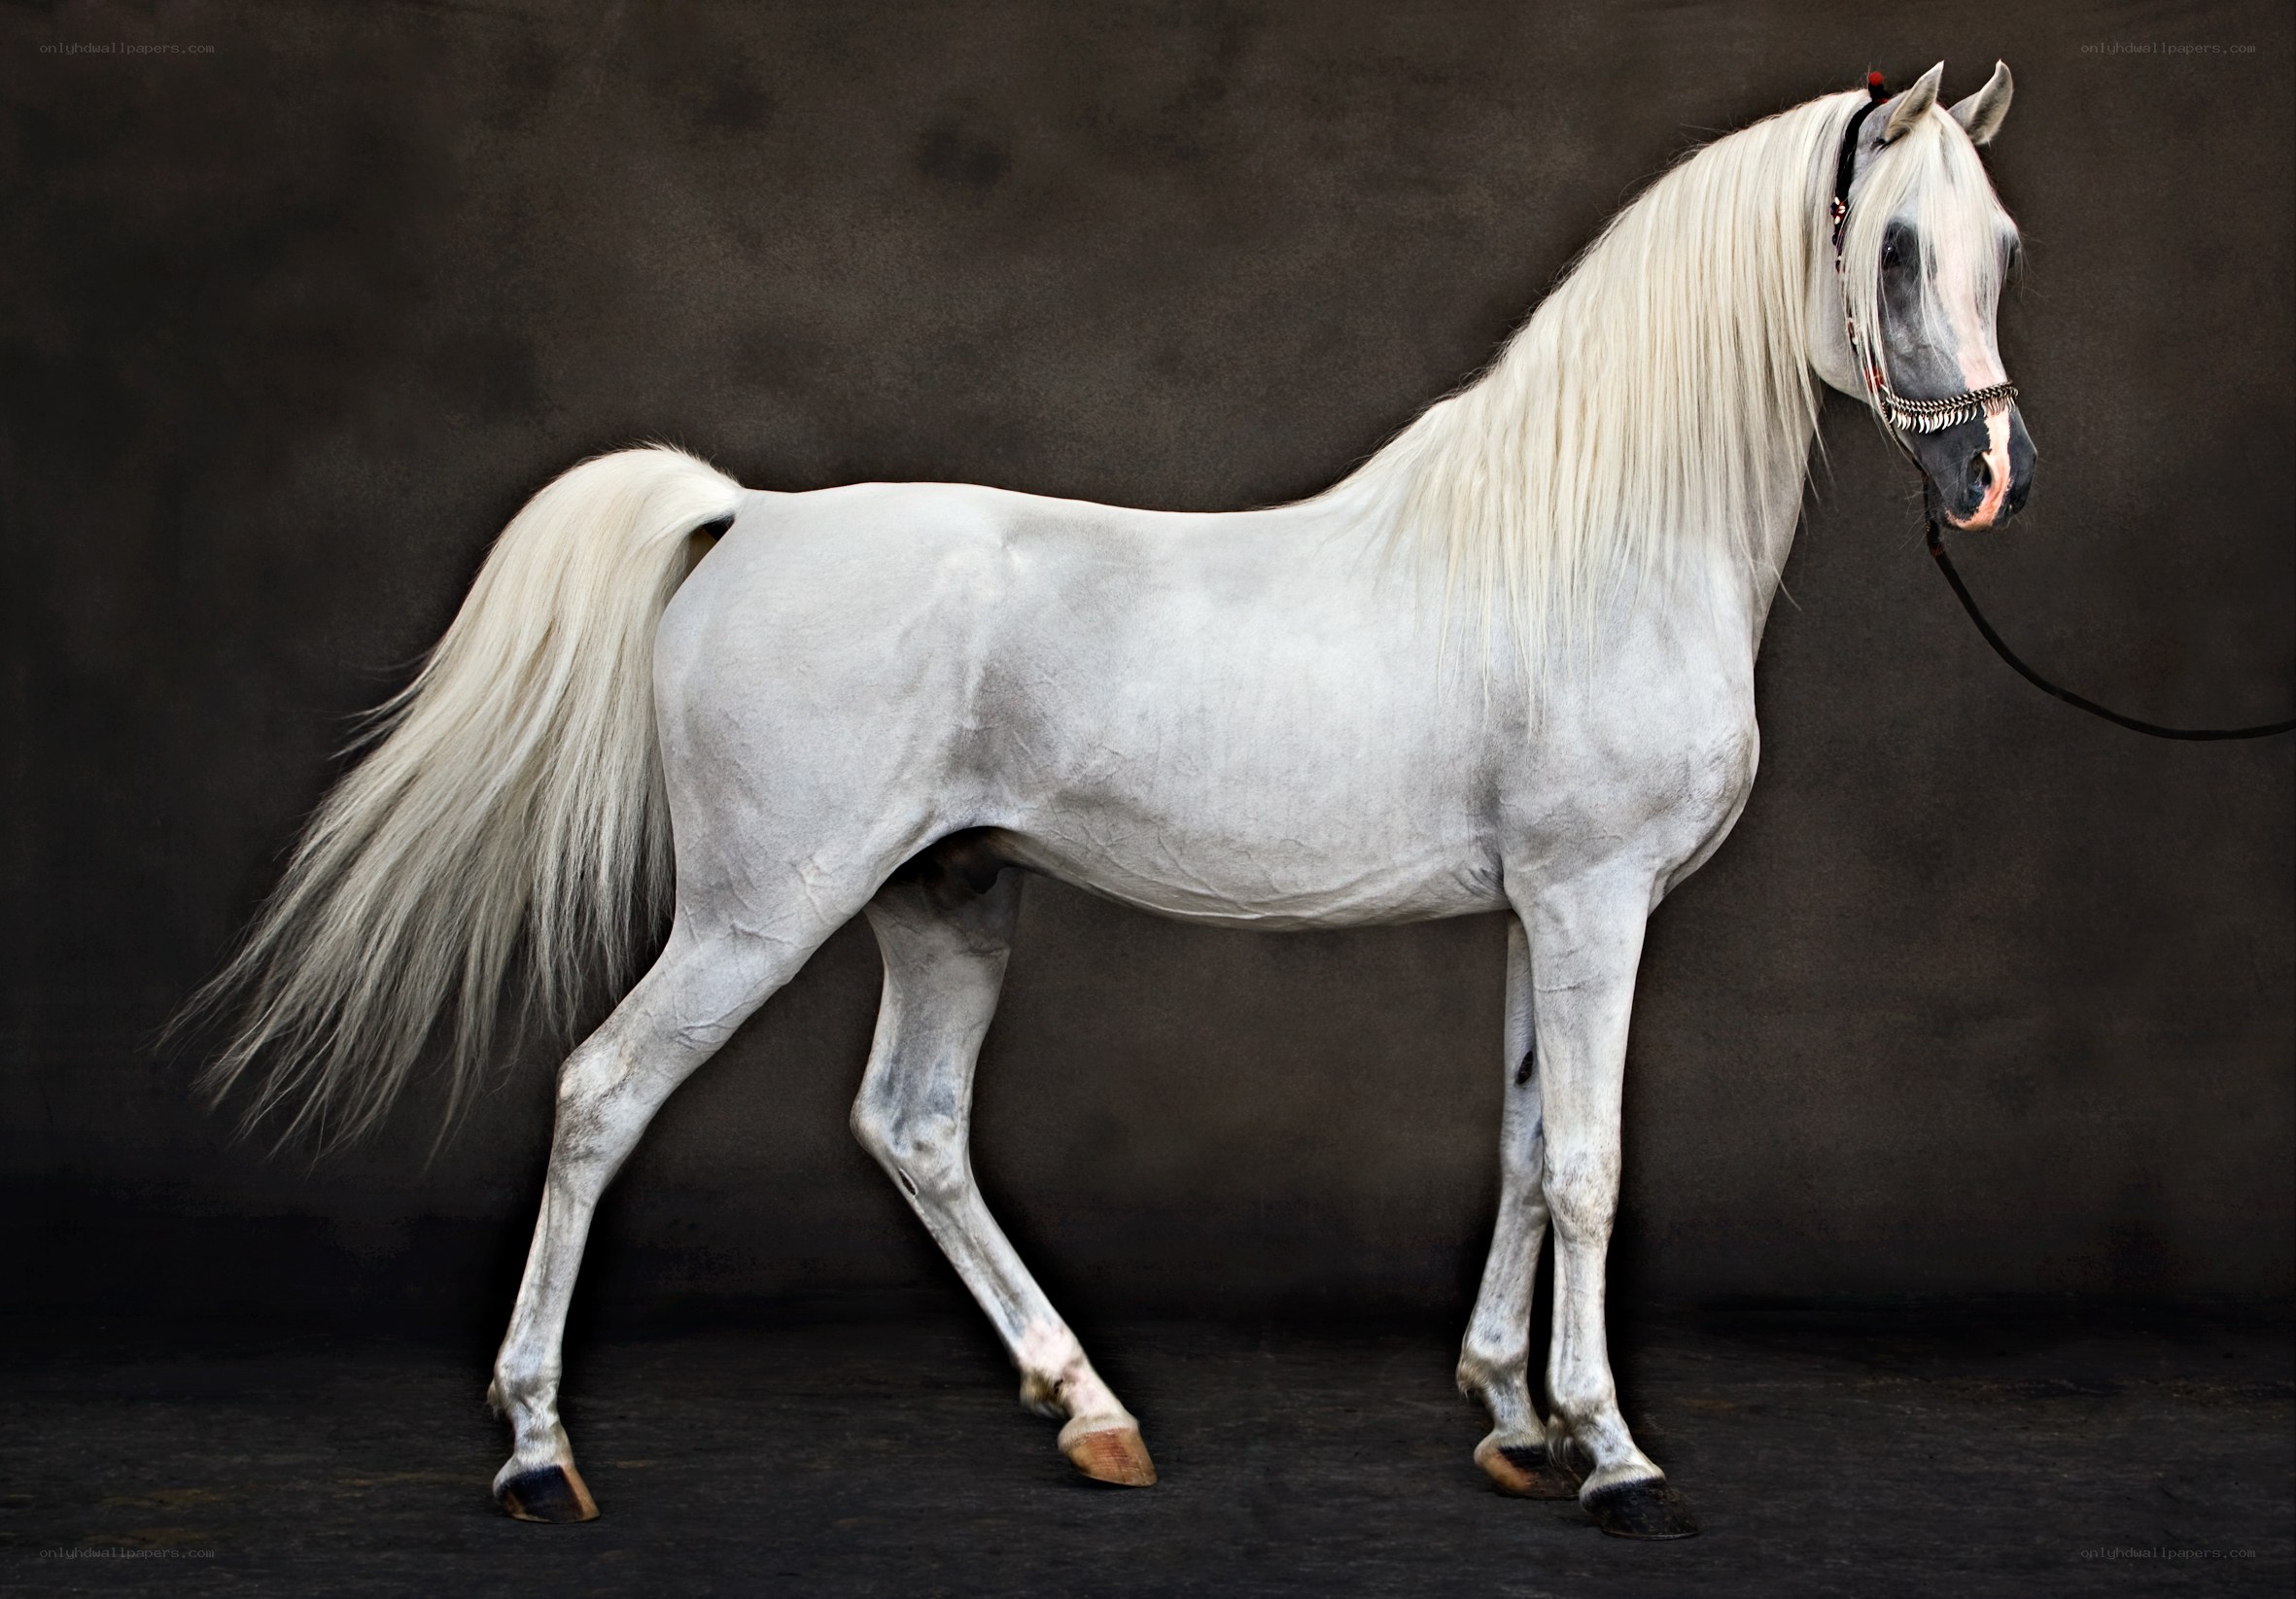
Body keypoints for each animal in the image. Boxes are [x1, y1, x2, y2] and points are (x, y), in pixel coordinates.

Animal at [184, 62, 2030, 1538]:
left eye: (2003, 247)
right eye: (1891, 252)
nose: (1985, 475)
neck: (1583, 544)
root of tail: (750, 516)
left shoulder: (1537, 911)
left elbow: (1516, 1147)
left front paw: (1509, 1420)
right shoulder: (1590, 904)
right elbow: (1586, 1162)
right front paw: (1612, 1453)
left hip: (946, 901)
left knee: (912, 1125)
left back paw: (1090, 1411)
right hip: (758, 913)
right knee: (600, 1094)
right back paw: (536, 1452)